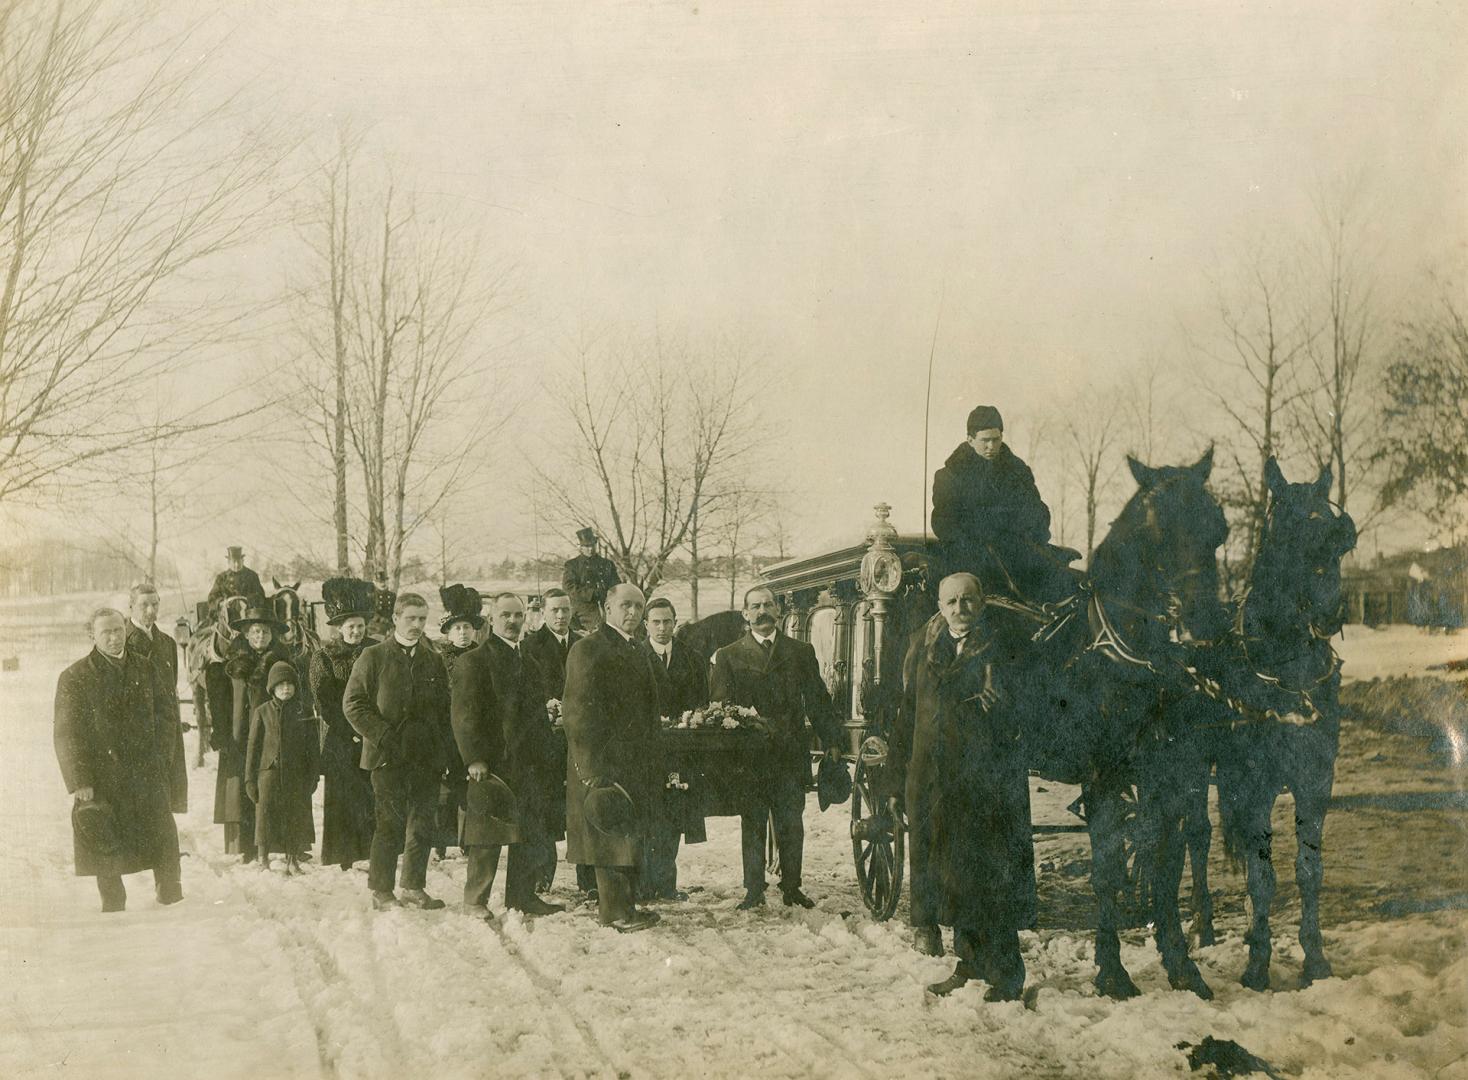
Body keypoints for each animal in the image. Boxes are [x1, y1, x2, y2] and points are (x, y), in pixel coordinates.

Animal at [1168, 460, 1362, 991]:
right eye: (1286, 531)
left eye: (1339, 539)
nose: (1330, 613)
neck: (1287, 672)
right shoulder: (1251, 783)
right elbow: (1262, 876)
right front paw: (1257, 963)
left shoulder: (1316, 780)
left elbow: (1308, 869)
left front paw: (1315, 959)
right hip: (1193, 767)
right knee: (1197, 835)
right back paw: (1204, 925)